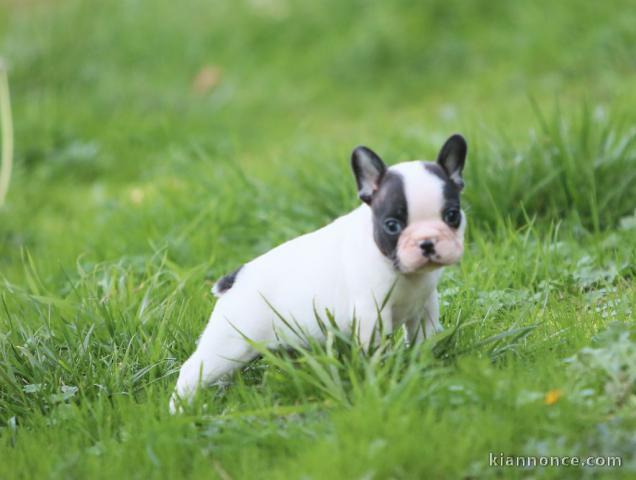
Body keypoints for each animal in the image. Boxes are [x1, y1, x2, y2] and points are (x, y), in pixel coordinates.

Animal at [169, 133, 468, 410]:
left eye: (452, 215)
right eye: (392, 225)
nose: (427, 242)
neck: (403, 272)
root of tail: (234, 278)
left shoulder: (425, 306)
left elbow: (425, 337)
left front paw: (425, 362)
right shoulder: (371, 314)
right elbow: (373, 351)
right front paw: (379, 375)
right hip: (229, 344)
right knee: (192, 371)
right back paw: (180, 411)